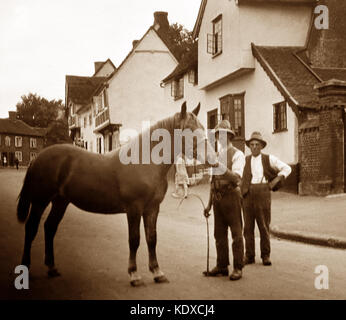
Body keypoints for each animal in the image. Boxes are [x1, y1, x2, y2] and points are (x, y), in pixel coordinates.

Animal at [17, 102, 216, 284]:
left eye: (202, 128)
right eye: (189, 130)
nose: (212, 159)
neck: (144, 161)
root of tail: (38, 158)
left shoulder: (152, 209)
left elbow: (152, 238)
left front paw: (157, 272)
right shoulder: (134, 208)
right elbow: (134, 239)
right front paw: (134, 274)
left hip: (60, 201)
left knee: (49, 227)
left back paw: (52, 268)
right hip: (40, 201)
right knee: (31, 228)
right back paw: (26, 268)